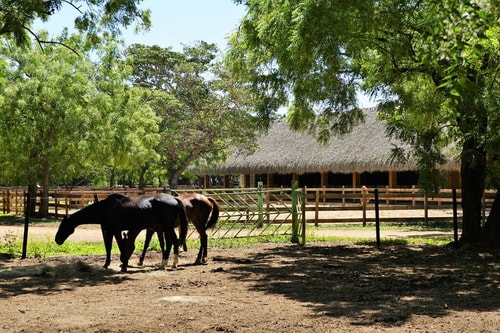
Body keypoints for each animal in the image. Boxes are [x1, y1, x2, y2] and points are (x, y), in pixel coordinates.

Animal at [54, 192, 188, 270]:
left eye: (63, 225)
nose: (57, 240)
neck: (106, 209)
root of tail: (175, 199)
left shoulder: (116, 231)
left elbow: (120, 247)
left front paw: (124, 264)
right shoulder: (109, 231)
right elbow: (108, 248)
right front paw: (106, 264)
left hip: (167, 227)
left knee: (173, 241)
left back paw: (168, 264)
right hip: (165, 227)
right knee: (171, 241)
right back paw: (169, 264)